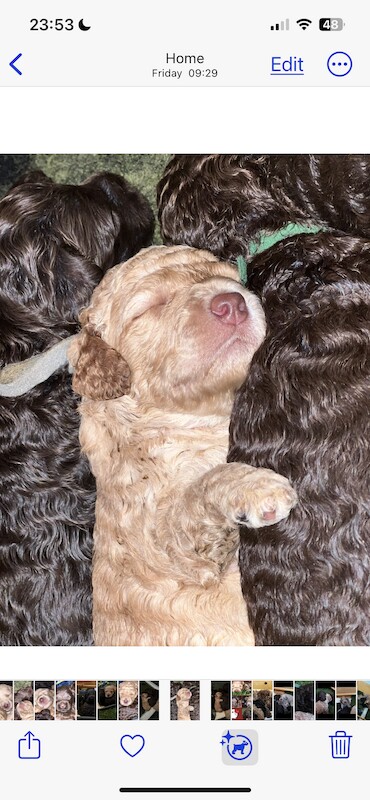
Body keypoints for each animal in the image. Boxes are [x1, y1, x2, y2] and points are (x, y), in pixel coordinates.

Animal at [68, 242, 294, 644]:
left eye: (233, 279)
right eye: (151, 306)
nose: (231, 303)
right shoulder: (164, 542)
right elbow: (201, 491)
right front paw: (255, 487)